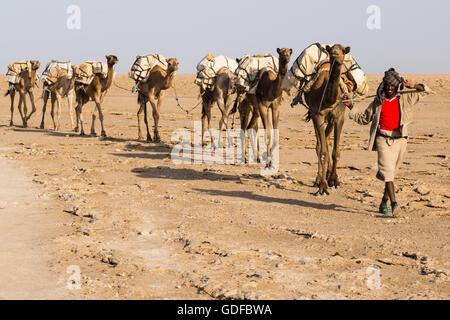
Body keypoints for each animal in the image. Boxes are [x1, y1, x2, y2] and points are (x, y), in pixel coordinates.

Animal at [302, 44, 352, 195]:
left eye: (343, 50)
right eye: (331, 50)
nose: (335, 53)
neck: (328, 99)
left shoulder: (339, 117)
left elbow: (336, 151)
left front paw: (335, 180)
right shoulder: (318, 115)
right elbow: (323, 150)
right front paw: (323, 186)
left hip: (330, 120)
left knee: (327, 141)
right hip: (314, 116)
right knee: (320, 145)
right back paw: (318, 179)